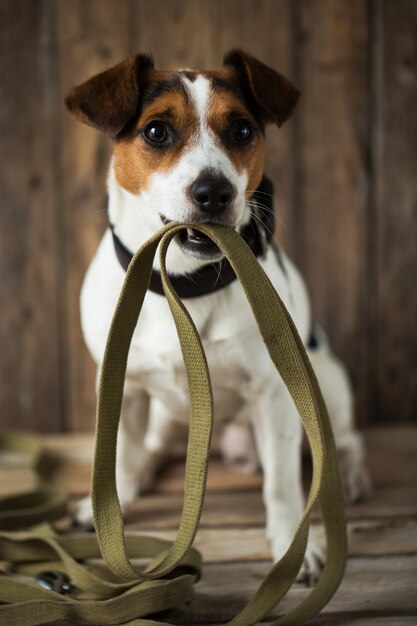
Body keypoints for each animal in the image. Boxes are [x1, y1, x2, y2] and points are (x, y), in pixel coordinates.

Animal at [65, 48, 370, 580]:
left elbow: (283, 485)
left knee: (344, 442)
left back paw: (351, 477)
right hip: (165, 412)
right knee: (149, 448)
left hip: (324, 384)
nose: (214, 192)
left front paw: (295, 548)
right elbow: (119, 457)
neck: (183, 283)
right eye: (156, 131)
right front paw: (110, 511)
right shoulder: (122, 385)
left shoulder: (275, 395)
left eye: (243, 130)